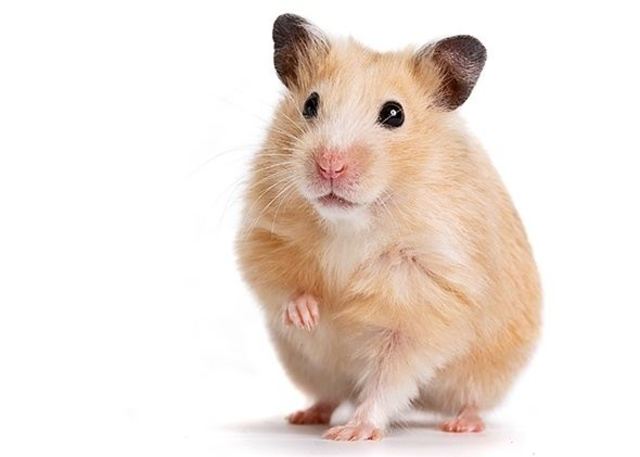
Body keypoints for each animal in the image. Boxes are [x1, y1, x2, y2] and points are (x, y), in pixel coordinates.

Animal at [235, 14, 541, 441]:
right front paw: (309, 315)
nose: (330, 166)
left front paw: (352, 433)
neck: (351, 222)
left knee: (470, 399)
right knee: (330, 394)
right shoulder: (264, 233)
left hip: (487, 373)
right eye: (310, 104)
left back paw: (461, 425)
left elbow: (389, 377)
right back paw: (305, 415)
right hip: (310, 367)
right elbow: (280, 282)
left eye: (394, 114)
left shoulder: (424, 300)